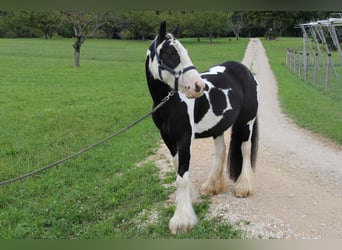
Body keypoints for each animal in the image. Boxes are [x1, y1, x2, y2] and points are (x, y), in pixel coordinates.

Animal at [144, 22, 260, 234]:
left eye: (184, 51)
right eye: (169, 52)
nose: (197, 86)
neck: (169, 103)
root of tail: (245, 71)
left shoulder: (184, 139)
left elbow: (181, 177)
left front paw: (182, 220)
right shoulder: (168, 139)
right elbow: (177, 168)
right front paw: (192, 200)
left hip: (247, 122)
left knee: (245, 149)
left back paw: (244, 187)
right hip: (218, 127)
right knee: (221, 151)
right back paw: (212, 186)